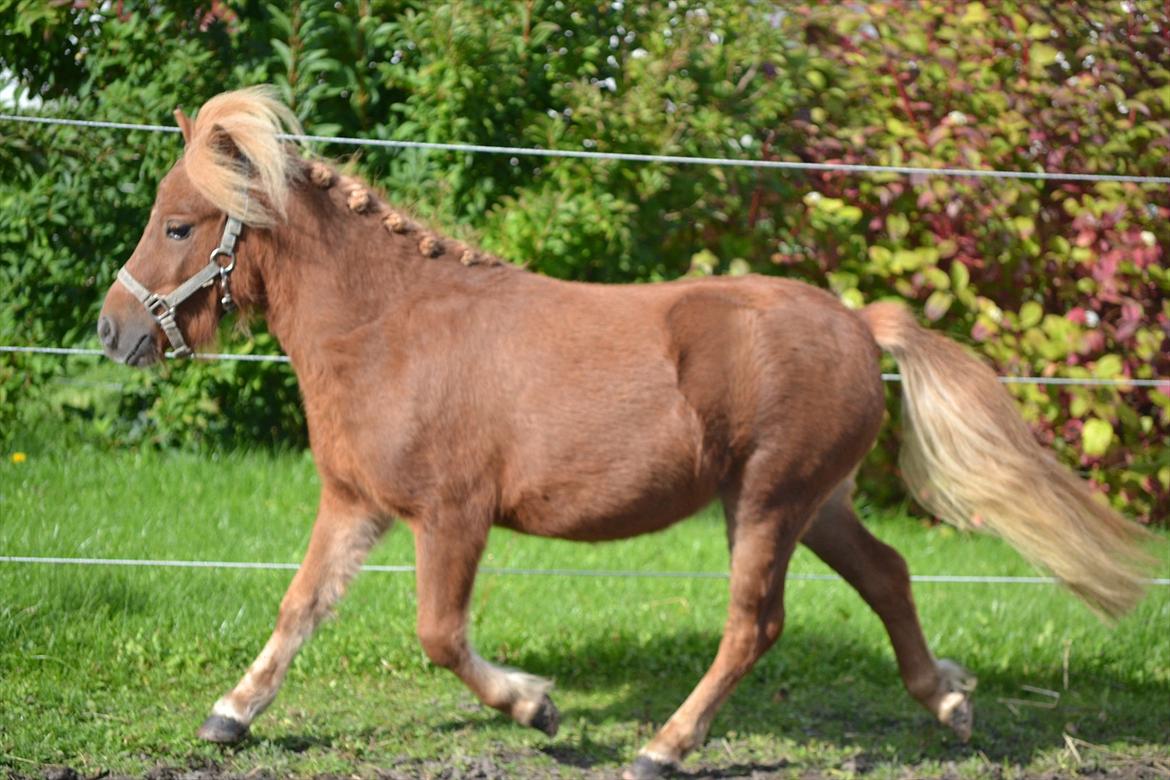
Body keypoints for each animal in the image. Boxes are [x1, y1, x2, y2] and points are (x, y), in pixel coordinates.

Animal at [97, 87, 1149, 779]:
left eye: (181, 225)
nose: (114, 331)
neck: (394, 326)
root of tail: (859, 323)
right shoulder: (356, 504)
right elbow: (299, 609)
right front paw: (230, 715)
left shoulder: (452, 515)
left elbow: (439, 634)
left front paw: (537, 706)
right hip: (813, 502)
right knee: (887, 575)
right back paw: (948, 702)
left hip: (767, 501)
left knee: (755, 624)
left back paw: (663, 748)